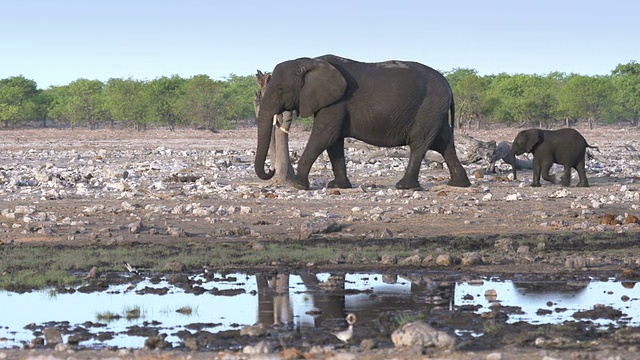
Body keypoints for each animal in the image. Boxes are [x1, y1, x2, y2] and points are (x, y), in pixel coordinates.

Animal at [255, 54, 470, 190]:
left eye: (281, 89)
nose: (271, 170)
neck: (310, 61)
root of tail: (449, 86)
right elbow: (334, 142)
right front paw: (339, 186)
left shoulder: (337, 102)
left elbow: (324, 135)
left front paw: (297, 185)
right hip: (434, 110)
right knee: (444, 143)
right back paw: (459, 184)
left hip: (429, 107)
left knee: (420, 144)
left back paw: (404, 186)